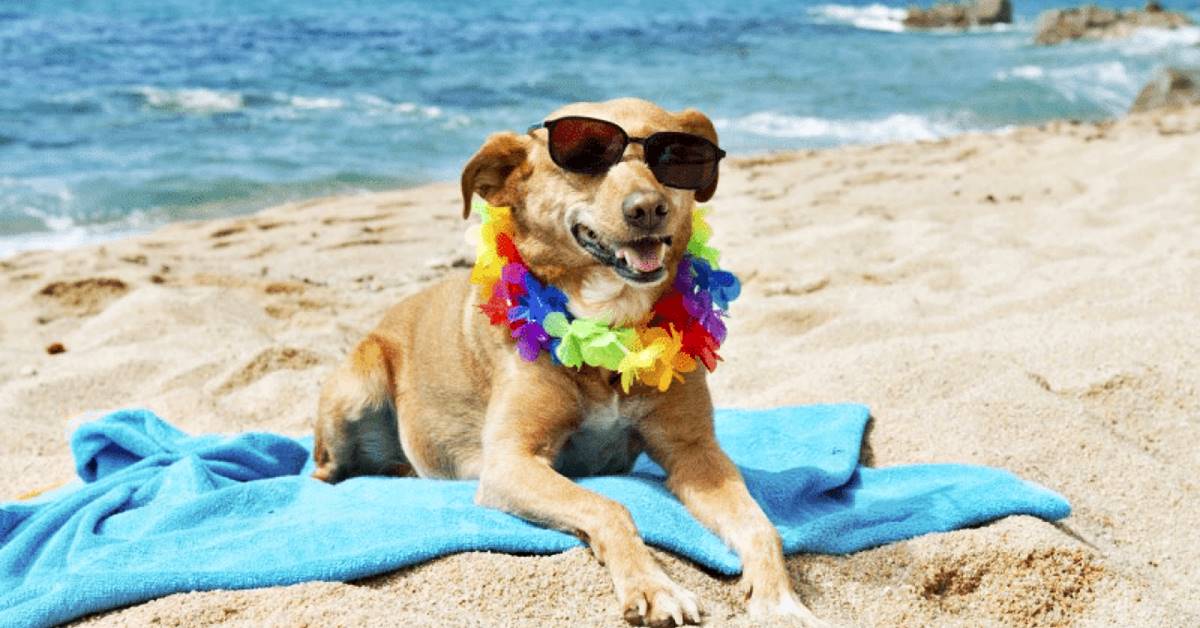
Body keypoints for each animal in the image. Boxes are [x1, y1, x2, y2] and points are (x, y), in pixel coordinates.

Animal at [312, 98, 825, 628]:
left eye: (674, 156)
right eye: (584, 157)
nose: (648, 208)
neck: (609, 328)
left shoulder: (695, 453)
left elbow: (760, 524)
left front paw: (780, 601)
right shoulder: (511, 461)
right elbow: (609, 506)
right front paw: (653, 586)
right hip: (359, 386)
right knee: (323, 467)